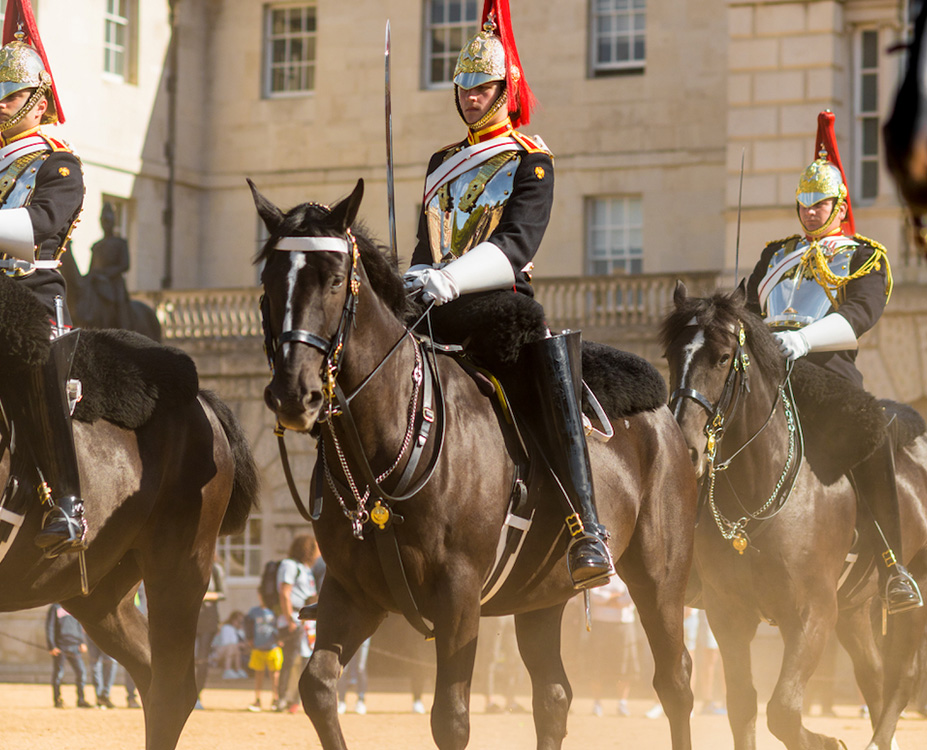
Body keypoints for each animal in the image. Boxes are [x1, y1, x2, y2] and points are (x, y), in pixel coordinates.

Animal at [250, 181, 700, 750]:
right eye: (268, 282)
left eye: (333, 281)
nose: (294, 394)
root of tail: (663, 411)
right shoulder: (352, 593)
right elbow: (318, 689)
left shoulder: (458, 597)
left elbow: (451, 718)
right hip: (539, 595)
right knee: (554, 697)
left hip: (660, 580)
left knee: (674, 682)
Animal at [664, 284, 927, 750]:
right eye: (671, 355)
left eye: (723, 357)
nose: (686, 448)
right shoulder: (728, 614)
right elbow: (743, 706)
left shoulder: (811, 612)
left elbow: (783, 710)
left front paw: (827, 742)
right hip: (855, 607)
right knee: (874, 676)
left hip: (910, 595)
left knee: (903, 677)